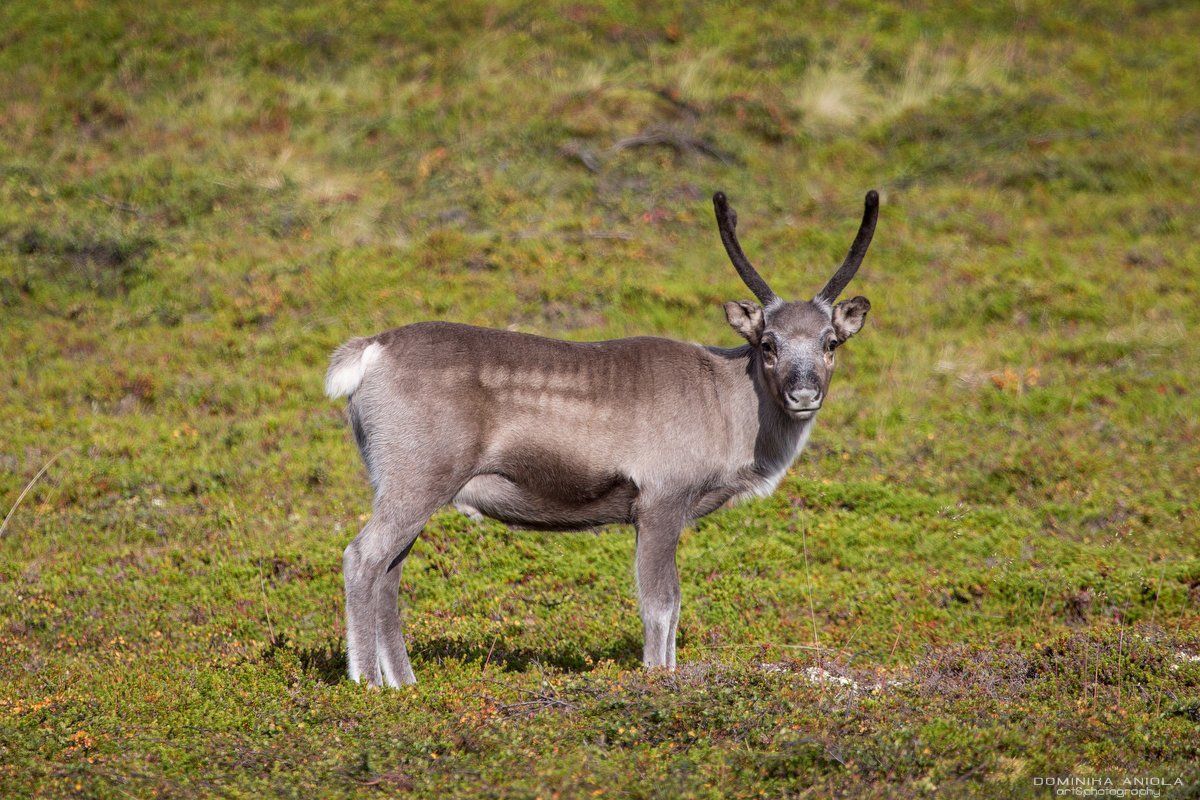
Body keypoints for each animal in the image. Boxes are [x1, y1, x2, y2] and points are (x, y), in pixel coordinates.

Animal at [325, 190, 879, 686]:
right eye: (768, 343)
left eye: (831, 343)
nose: (803, 393)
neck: (730, 412)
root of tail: (368, 351)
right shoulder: (661, 496)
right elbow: (661, 603)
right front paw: (658, 678)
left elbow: (671, 605)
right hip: (417, 474)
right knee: (363, 558)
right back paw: (366, 684)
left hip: (409, 482)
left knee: (390, 574)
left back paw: (406, 685)